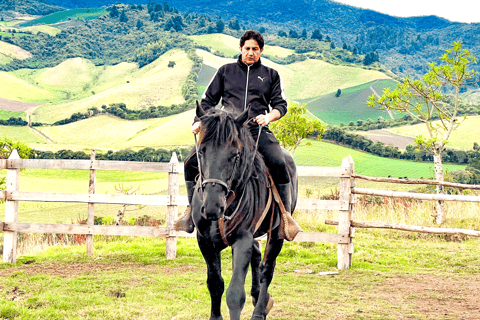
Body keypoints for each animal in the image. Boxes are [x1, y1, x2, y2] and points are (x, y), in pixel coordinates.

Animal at [190, 103, 296, 320]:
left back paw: (260, 310)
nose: (213, 206)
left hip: (276, 234)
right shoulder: (205, 241)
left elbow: (235, 294)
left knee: (267, 270)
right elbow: (215, 284)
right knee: (257, 255)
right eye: (201, 151)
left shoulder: (242, 239)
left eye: (235, 155)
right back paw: (257, 296)